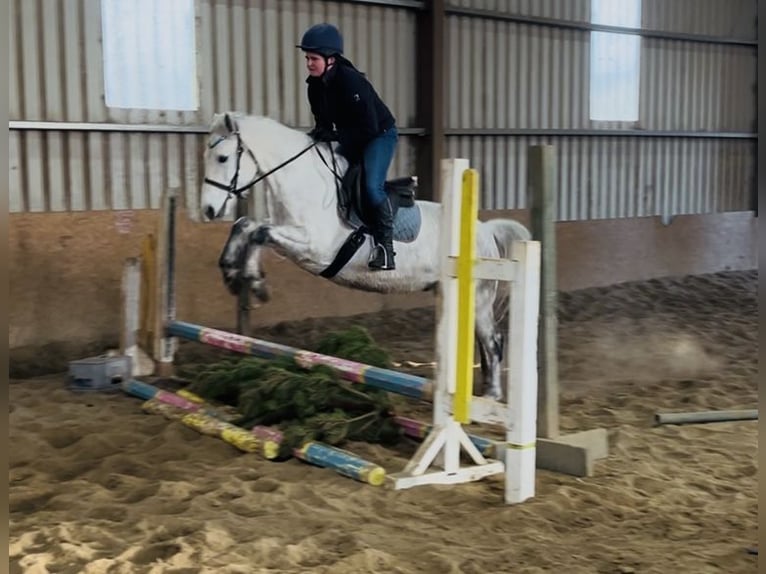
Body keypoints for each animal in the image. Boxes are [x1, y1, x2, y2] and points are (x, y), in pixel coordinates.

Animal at [199, 112, 531, 401]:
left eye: (222, 158)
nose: (208, 211)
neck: (304, 182)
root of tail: (485, 230)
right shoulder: (289, 234)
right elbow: (247, 225)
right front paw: (231, 272)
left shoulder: (313, 247)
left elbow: (259, 233)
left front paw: (254, 282)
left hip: (478, 297)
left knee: (493, 341)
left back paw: (491, 397)